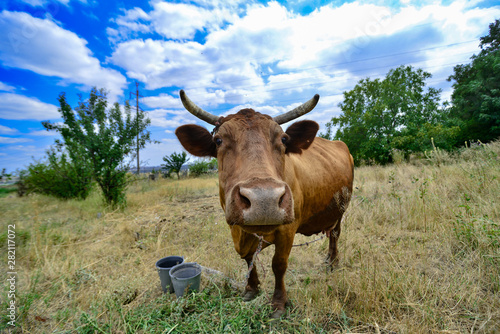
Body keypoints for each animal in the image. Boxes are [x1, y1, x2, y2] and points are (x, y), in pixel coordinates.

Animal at [174, 89, 354, 318]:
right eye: (218, 140)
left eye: (284, 139)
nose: (264, 199)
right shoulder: (238, 230)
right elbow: (248, 259)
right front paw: (252, 289)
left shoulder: (288, 229)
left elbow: (279, 264)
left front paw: (278, 303)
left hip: (341, 209)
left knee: (335, 234)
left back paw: (332, 262)